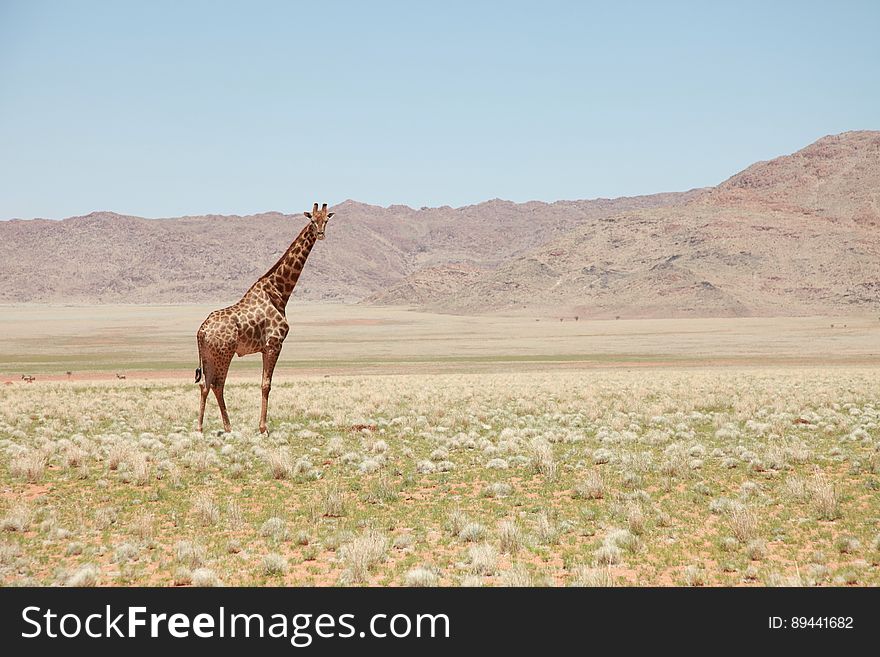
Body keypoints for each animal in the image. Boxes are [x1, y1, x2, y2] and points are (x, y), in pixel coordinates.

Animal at [195, 202, 334, 434]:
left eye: (326, 220)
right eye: (313, 220)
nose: (321, 234)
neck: (279, 292)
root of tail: (201, 331)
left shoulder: (264, 348)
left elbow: (264, 383)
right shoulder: (274, 344)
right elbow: (266, 385)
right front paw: (263, 428)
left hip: (209, 355)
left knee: (205, 385)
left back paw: (200, 428)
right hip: (224, 353)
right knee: (217, 384)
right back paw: (227, 427)